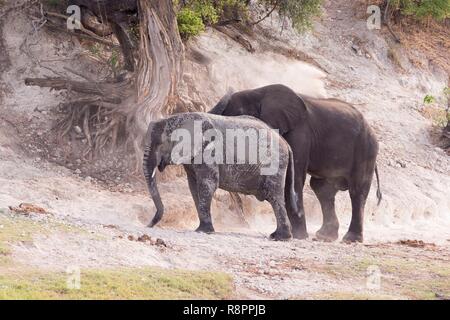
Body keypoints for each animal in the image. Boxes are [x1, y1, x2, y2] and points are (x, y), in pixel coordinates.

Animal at [143, 111, 298, 239]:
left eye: (160, 144)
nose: (148, 225)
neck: (178, 117)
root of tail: (286, 144)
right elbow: (194, 187)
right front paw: (203, 229)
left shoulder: (209, 152)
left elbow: (207, 184)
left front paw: (203, 231)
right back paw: (278, 236)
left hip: (275, 165)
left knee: (274, 197)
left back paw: (280, 237)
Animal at [209, 84, 382, 242]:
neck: (258, 93)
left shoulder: (300, 133)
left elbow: (293, 178)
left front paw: (298, 236)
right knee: (322, 188)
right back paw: (324, 236)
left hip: (365, 148)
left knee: (356, 191)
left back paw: (350, 239)